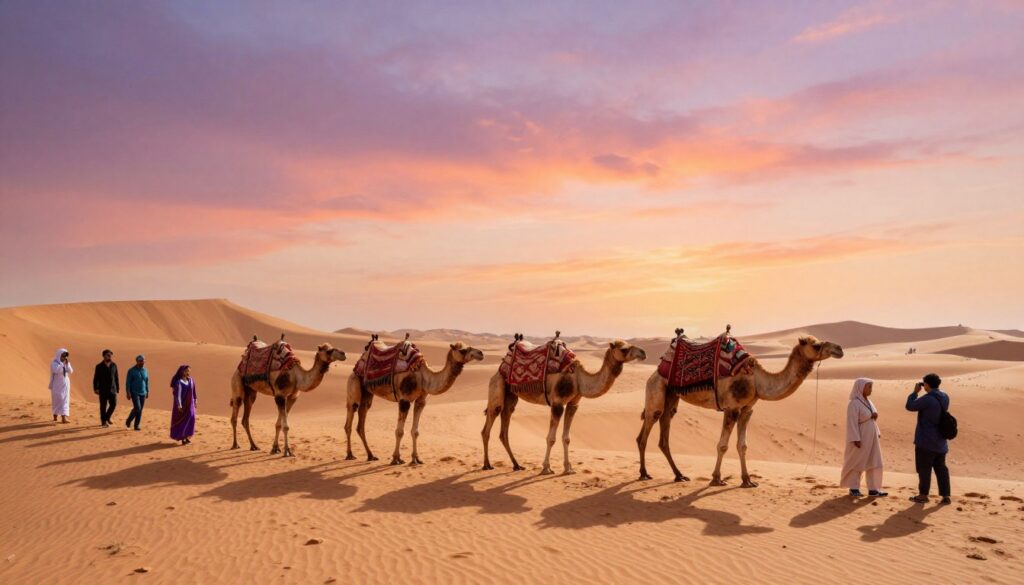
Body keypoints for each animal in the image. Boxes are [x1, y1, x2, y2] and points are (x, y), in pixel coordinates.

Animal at [344, 340, 484, 465]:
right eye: (463, 350)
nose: (481, 353)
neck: (423, 377)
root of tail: (356, 367)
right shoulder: (404, 400)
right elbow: (399, 431)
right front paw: (396, 459)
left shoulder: (421, 401)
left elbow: (415, 431)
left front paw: (416, 459)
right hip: (354, 383)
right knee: (350, 417)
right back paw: (350, 455)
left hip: (367, 394)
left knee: (361, 421)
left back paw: (371, 455)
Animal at [482, 339, 647, 475]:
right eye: (624, 349)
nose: (643, 353)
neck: (578, 379)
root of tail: (501, 366)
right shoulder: (557, 403)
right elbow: (551, 438)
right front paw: (546, 468)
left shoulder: (573, 404)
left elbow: (566, 438)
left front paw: (568, 468)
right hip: (497, 386)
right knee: (488, 424)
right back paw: (487, 465)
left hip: (511, 396)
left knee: (504, 428)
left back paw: (517, 465)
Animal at [637, 334, 843, 486]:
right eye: (816, 345)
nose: (839, 349)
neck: (757, 381)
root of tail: (656, 371)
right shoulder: (732, 408)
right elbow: (723, 445)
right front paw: (716, 478)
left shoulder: (746, 410)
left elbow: (742, 446)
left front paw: (747, 480)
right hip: (656, 391)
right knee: (645, 433)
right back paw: (644, 474)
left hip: (671, 396)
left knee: (664, 433)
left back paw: (679, 475)